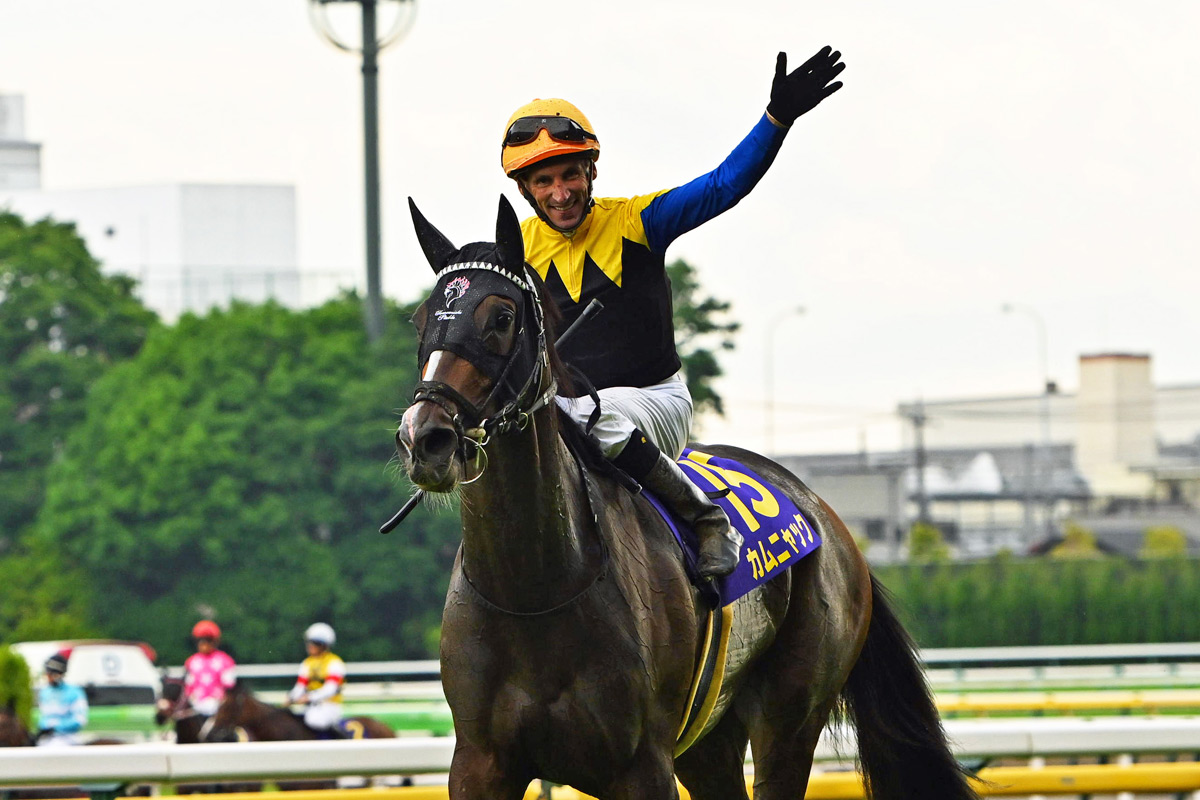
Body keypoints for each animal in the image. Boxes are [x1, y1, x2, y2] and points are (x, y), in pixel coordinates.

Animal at [395, 195, 980, 800]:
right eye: (421, 318)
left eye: (502, 318)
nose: (425, 437)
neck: (534, 592)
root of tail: (830, 521)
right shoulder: (480, 764)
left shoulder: (641, 764)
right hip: (708, 739)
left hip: (790, 716)